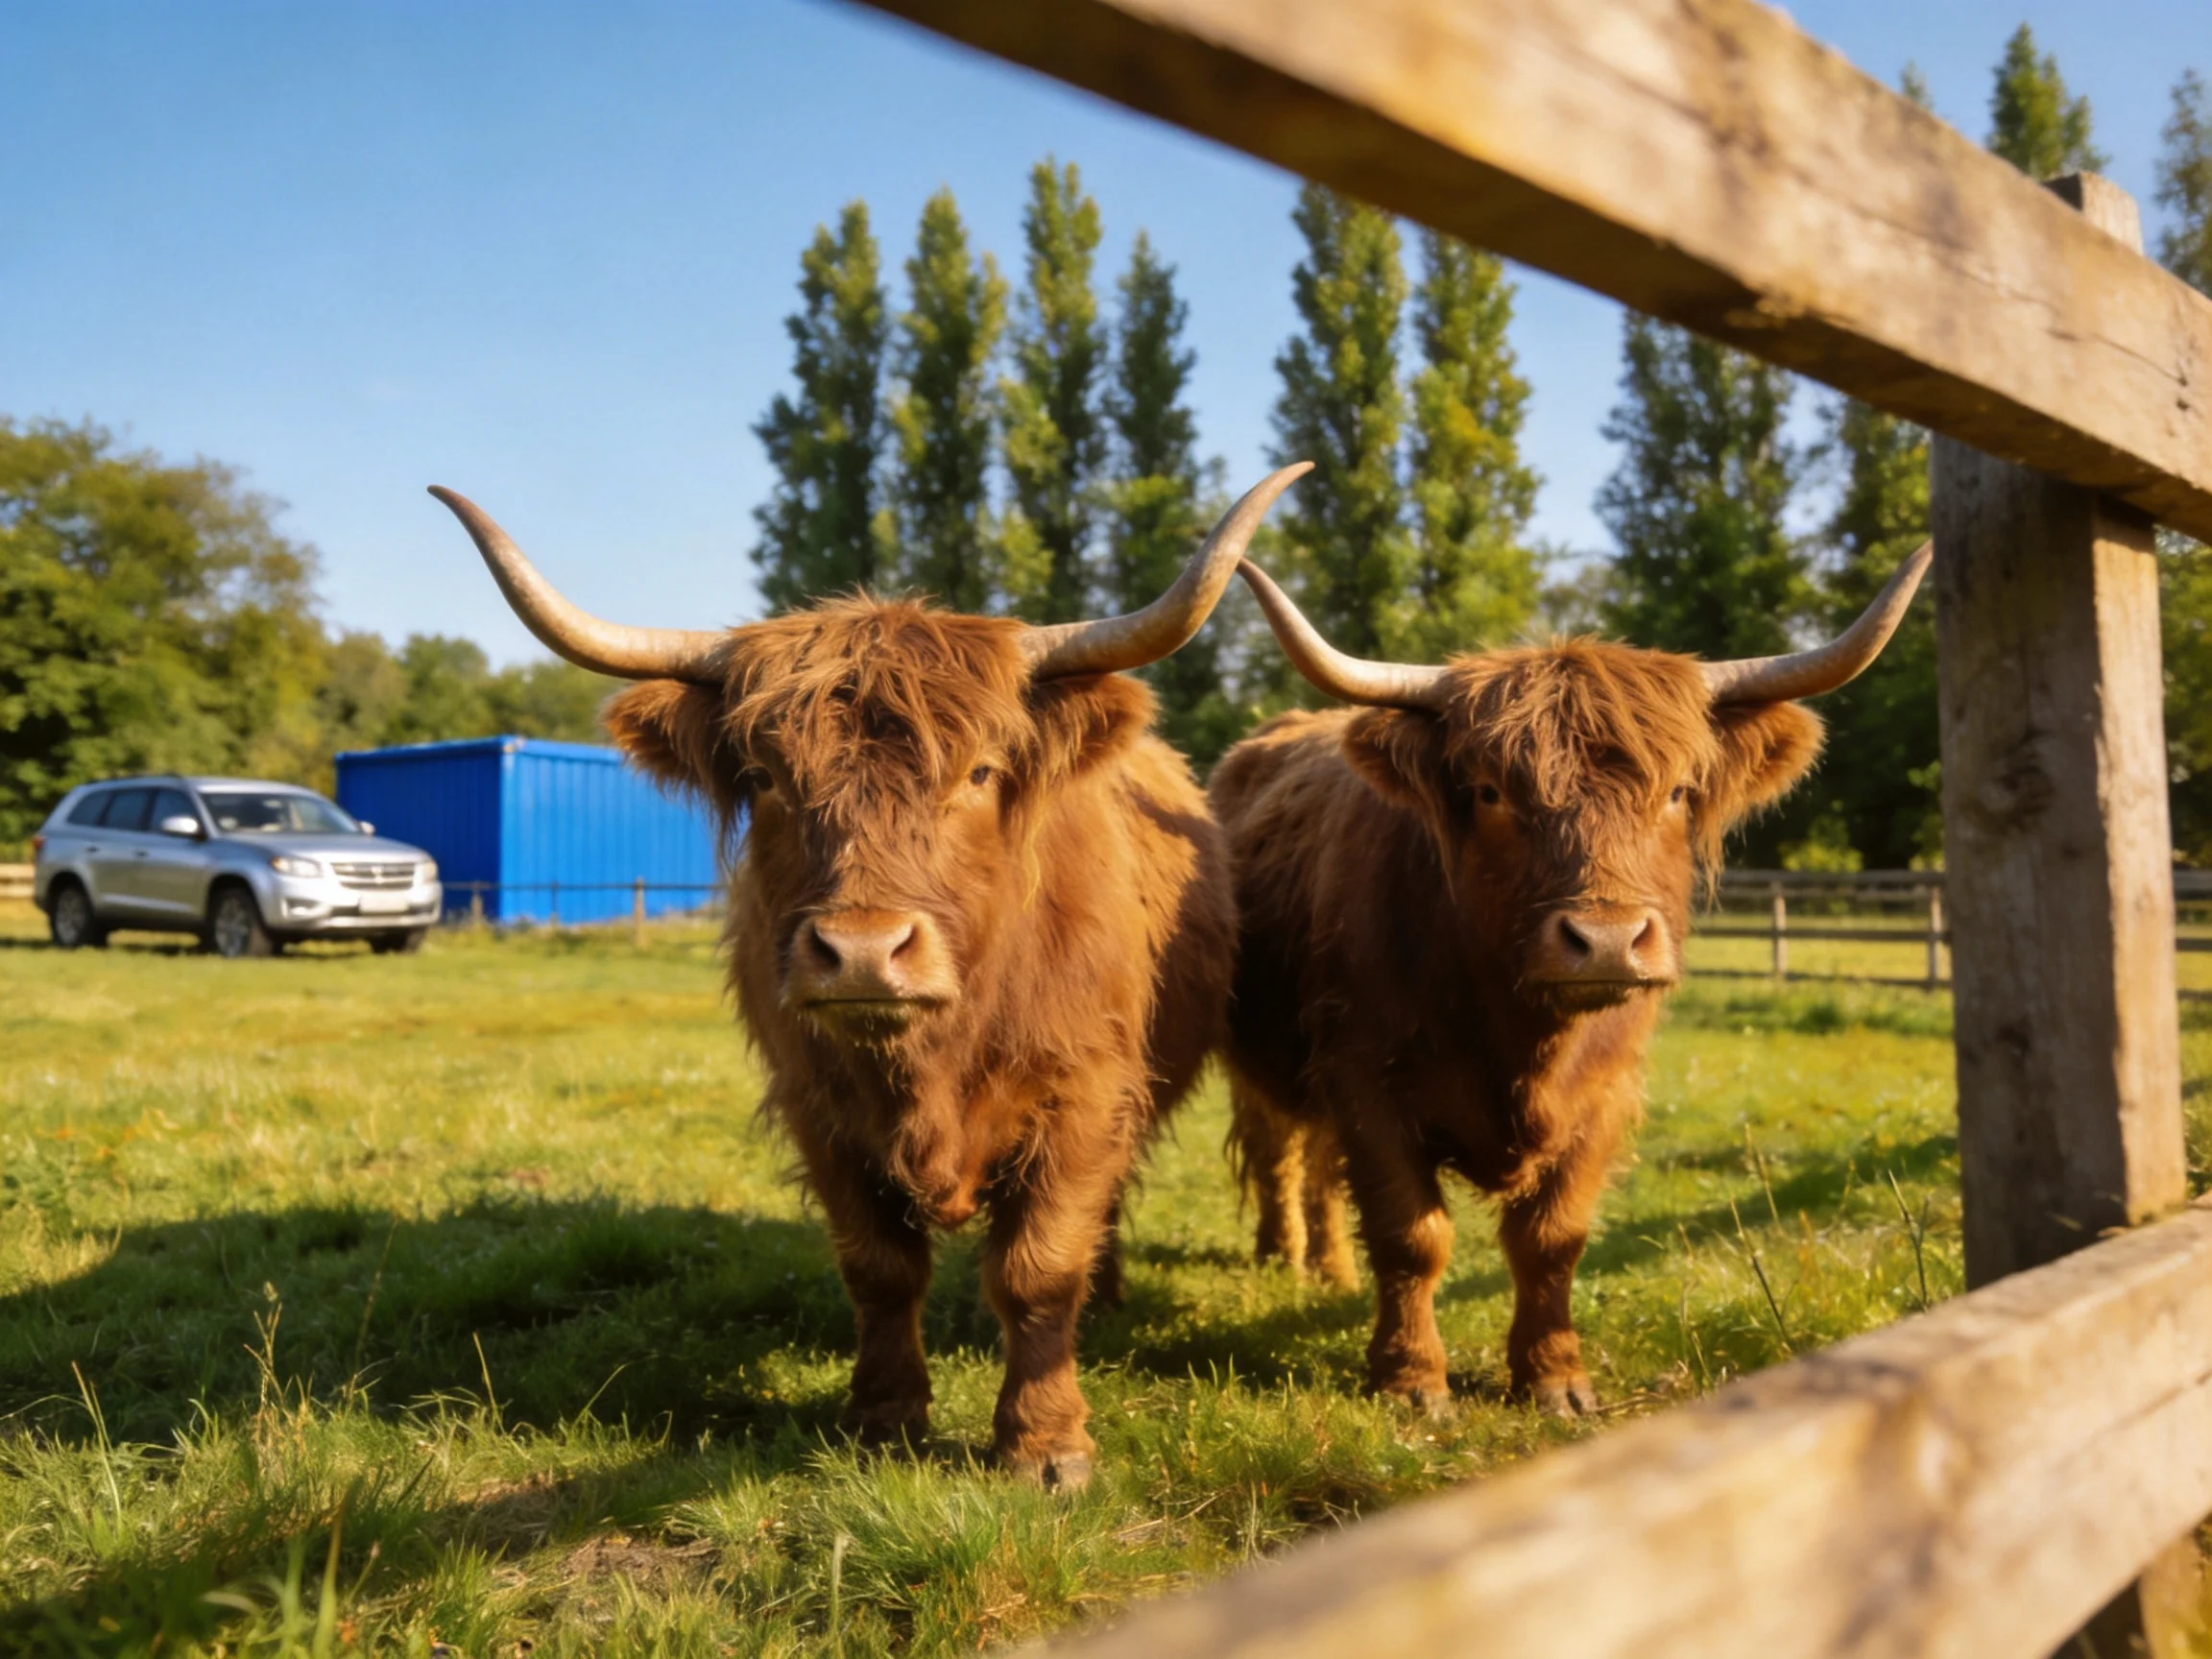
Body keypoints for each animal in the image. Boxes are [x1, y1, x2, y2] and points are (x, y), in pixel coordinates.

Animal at [428, 466, 1308, 1486]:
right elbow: (880, 1268)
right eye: (765, 777)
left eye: (980, 772)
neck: (933, 1056)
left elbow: (1040, 1266)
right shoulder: (818, 1105)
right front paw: (884, 1419)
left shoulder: (1084, 1094)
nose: (860, 950)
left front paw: (1045, 1445)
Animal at [1211, 545, 1930, 1417]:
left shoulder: (1605, 1093)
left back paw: (1328, 1269)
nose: (1608, 942)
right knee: (1277, 1149)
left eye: (1677, 791)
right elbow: (1410, 1231)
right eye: (1490, 792)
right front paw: (1411, 1380)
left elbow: (1552, 1238)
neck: (1519, 1035)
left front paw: (1554, 1377)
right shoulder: (1364, 1077)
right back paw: (1281, 1253)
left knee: (1316, 1162)